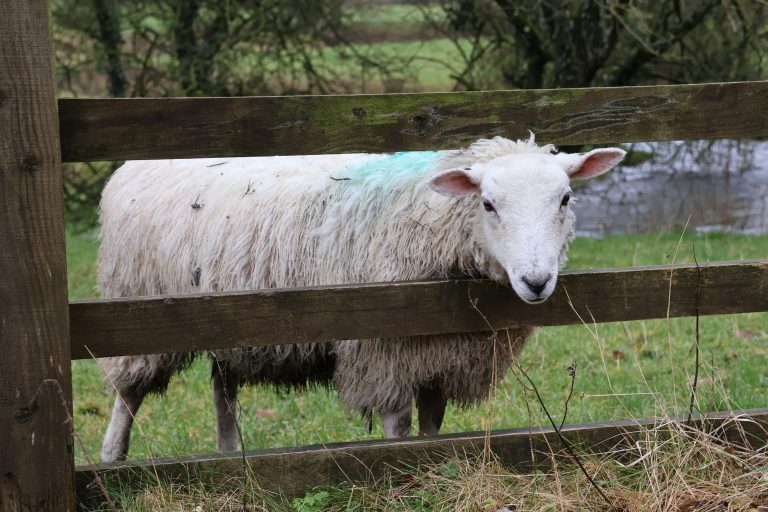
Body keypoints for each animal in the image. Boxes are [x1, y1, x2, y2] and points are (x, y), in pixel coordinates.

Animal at [97, 135, 624, 460]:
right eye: (489, 204)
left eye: (565, 199)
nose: (536, 281)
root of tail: (131, 164)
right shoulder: (381, 349)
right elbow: (399, 424)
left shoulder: (441, 351)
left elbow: (433, 424)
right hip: (136, 306)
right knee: (128, 392)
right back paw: (111, 456)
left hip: (228, 316)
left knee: (222, 386)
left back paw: (231, 454)